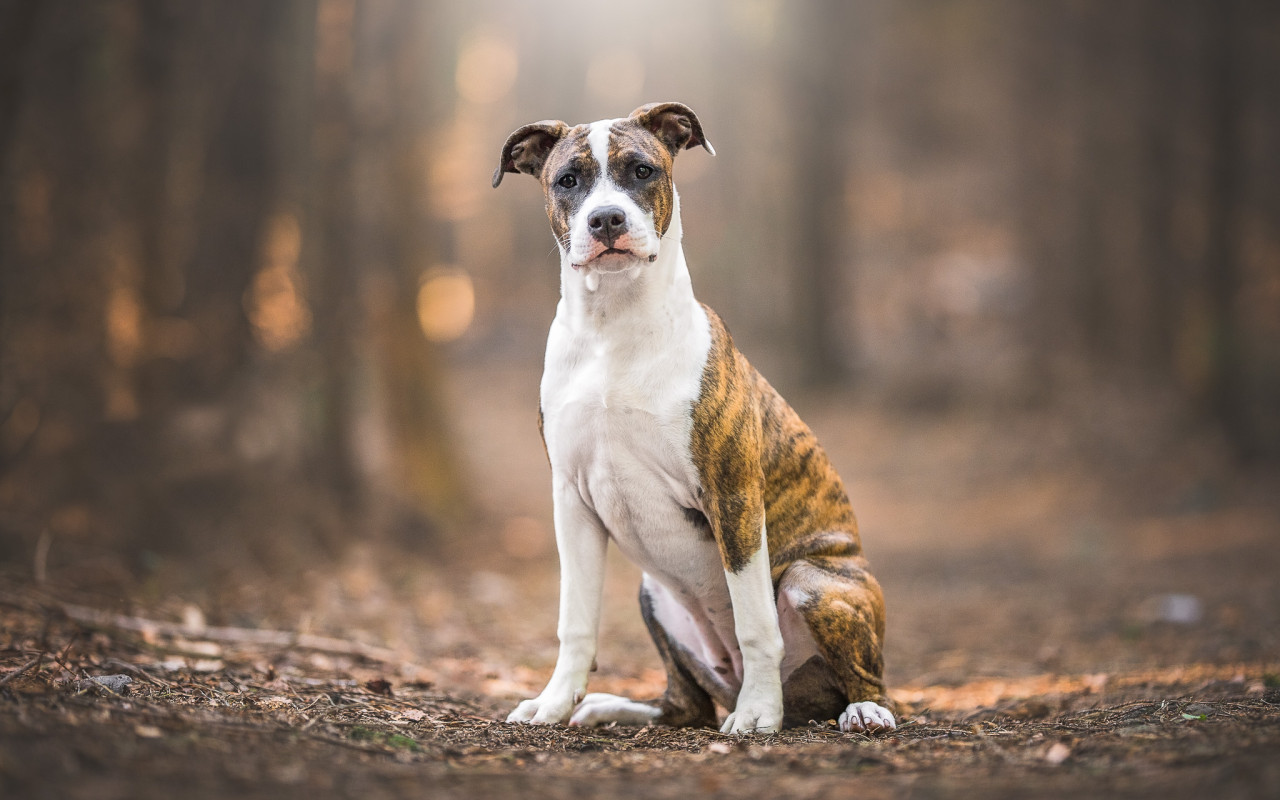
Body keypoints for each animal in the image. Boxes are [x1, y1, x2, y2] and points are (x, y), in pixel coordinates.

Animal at [494, 103, 896, 732]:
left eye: (642, 170)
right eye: (568, 180)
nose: (606, 220)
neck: (613, 327)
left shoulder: (732, 495)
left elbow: (755, 622)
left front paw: (758, 715)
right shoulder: (572, 500)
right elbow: (575, 621)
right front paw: (555, 702)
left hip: (814, 581)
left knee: (864, 675)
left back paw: (859, 709)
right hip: (651, 595)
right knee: (684, 704)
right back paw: (612, 706)